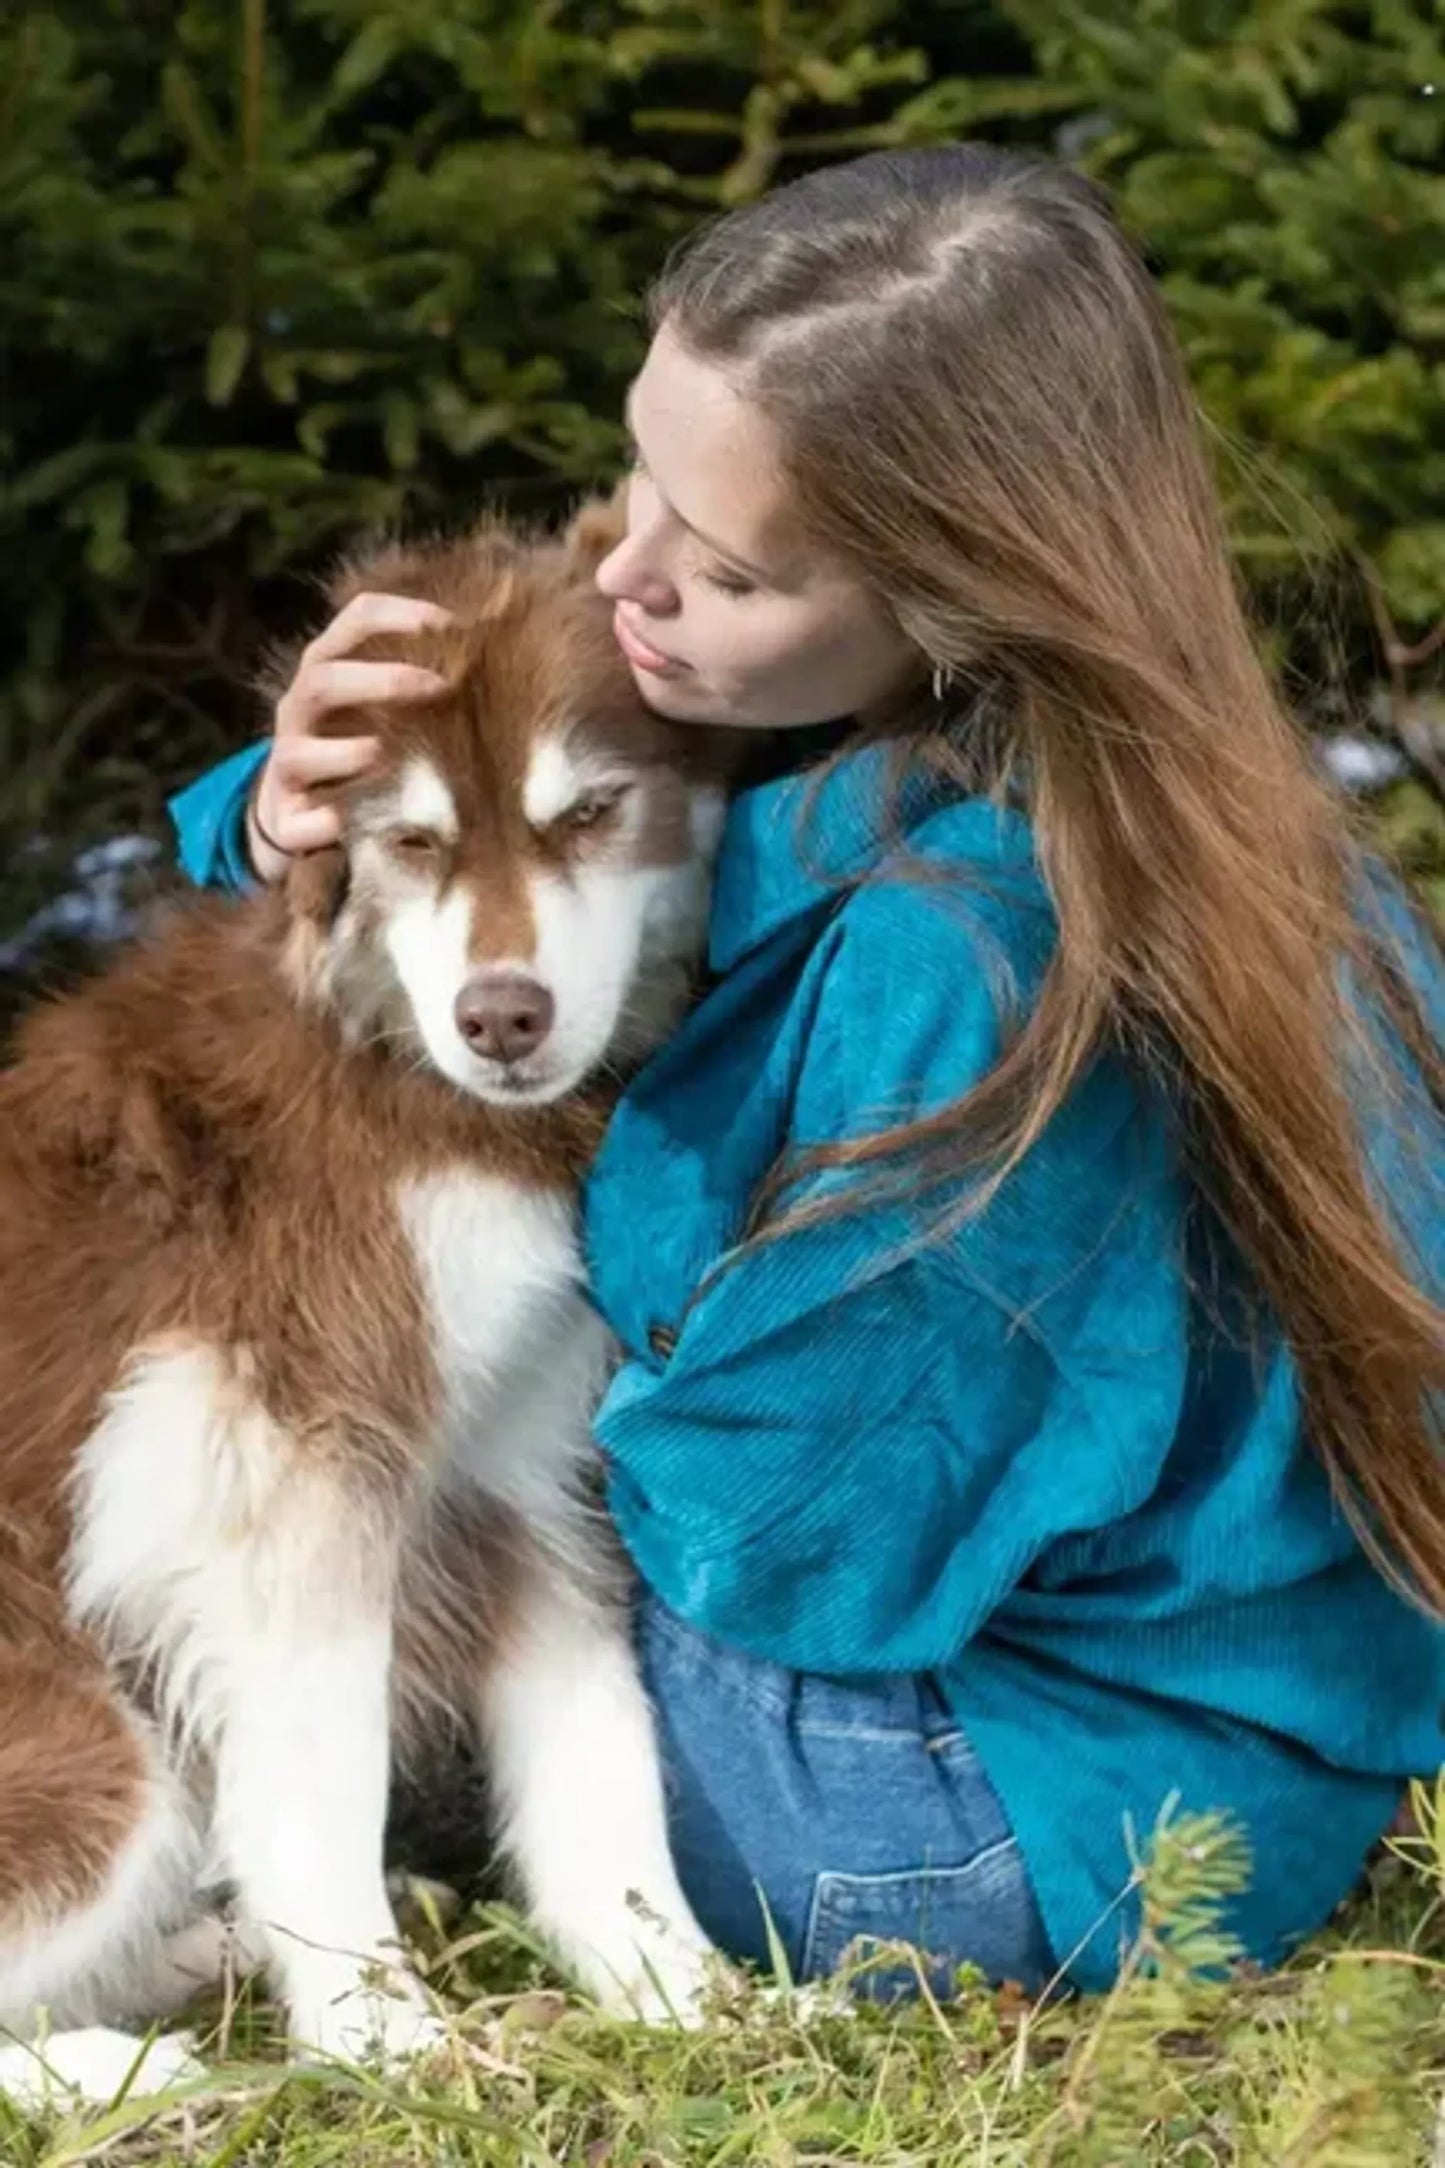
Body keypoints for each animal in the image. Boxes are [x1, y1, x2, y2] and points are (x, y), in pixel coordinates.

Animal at [0, 502, 736, 2098]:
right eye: (409, 842)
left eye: (591, 813)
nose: (502, 1015)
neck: (397, 1057)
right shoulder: (279, 1461)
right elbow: (324, 1780)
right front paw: (378, 2030)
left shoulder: (520, 1465)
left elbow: (602, 1755)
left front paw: (687, 1994)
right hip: (103, 1745)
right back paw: (124, 2068)